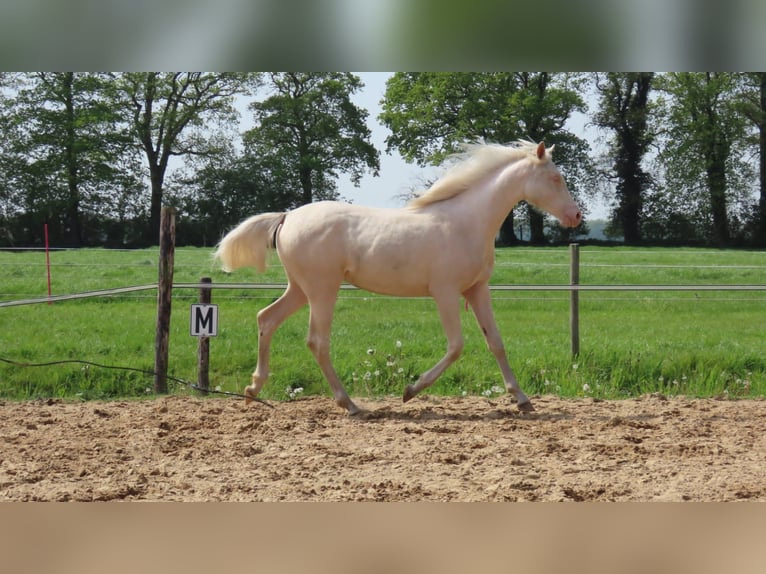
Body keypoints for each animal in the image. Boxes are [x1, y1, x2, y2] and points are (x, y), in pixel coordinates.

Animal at [216, 142, 584, 416]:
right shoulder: (445, 292)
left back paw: (252, 390)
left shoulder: (477, 290)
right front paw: (410, 390)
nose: (576, 216)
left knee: (267, 319)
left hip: (300, 289)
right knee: (316, 341)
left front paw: (523, 401)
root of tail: (288, 217)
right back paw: (350, 405)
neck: (467, 223)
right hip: (322, 290)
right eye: (555, 178)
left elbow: (496, 342)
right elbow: (456, 346)